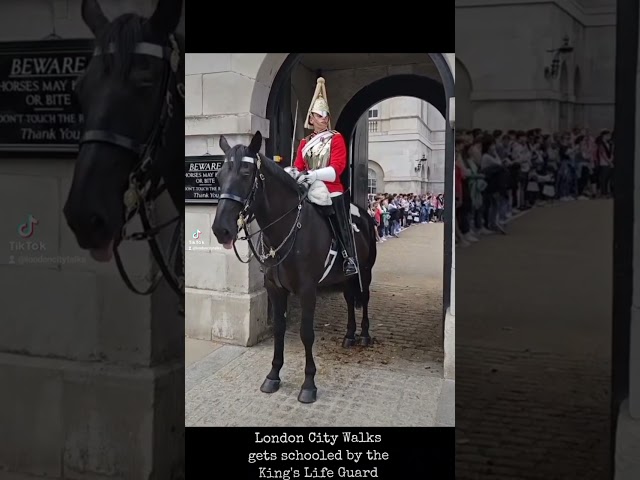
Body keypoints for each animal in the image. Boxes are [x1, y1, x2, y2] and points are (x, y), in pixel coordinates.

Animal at [212, 129, 378, 404]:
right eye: (218, 176)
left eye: (246, 174)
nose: (220, 230)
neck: (286, 228)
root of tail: (365, 214)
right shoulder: (275, 288)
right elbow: (279, 329)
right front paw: (273, 375)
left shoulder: (308, 290)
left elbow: (305, 333)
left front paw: (309, 384)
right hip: (344, 277)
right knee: (348, 299)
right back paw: (349, 335)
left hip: (364, 271)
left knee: (363, 298)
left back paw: (363, 335)